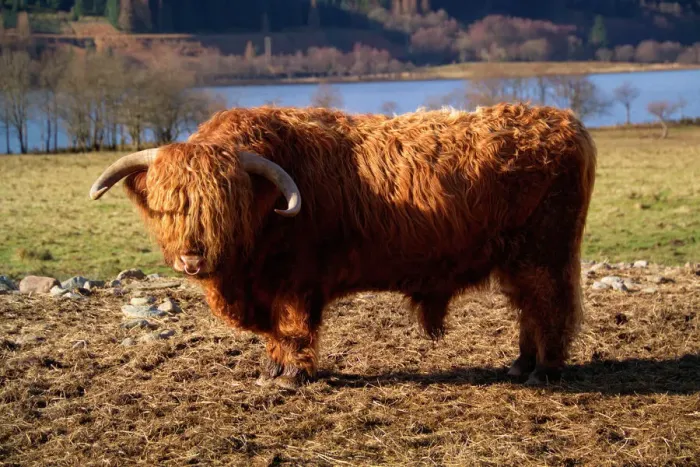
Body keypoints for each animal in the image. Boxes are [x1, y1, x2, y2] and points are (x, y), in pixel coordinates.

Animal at [89, 103, 597, 390]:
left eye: (225, 205)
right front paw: (272, 371)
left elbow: (293, 329)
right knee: (528, 308)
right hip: (517, 258)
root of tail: (565, 121)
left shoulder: (296, 283)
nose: (193, 257)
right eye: (170, 206)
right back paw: (519, 364)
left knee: (550, 306)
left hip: (544, 253)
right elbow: (275, 334)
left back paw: (544, 370)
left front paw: (292, 377)